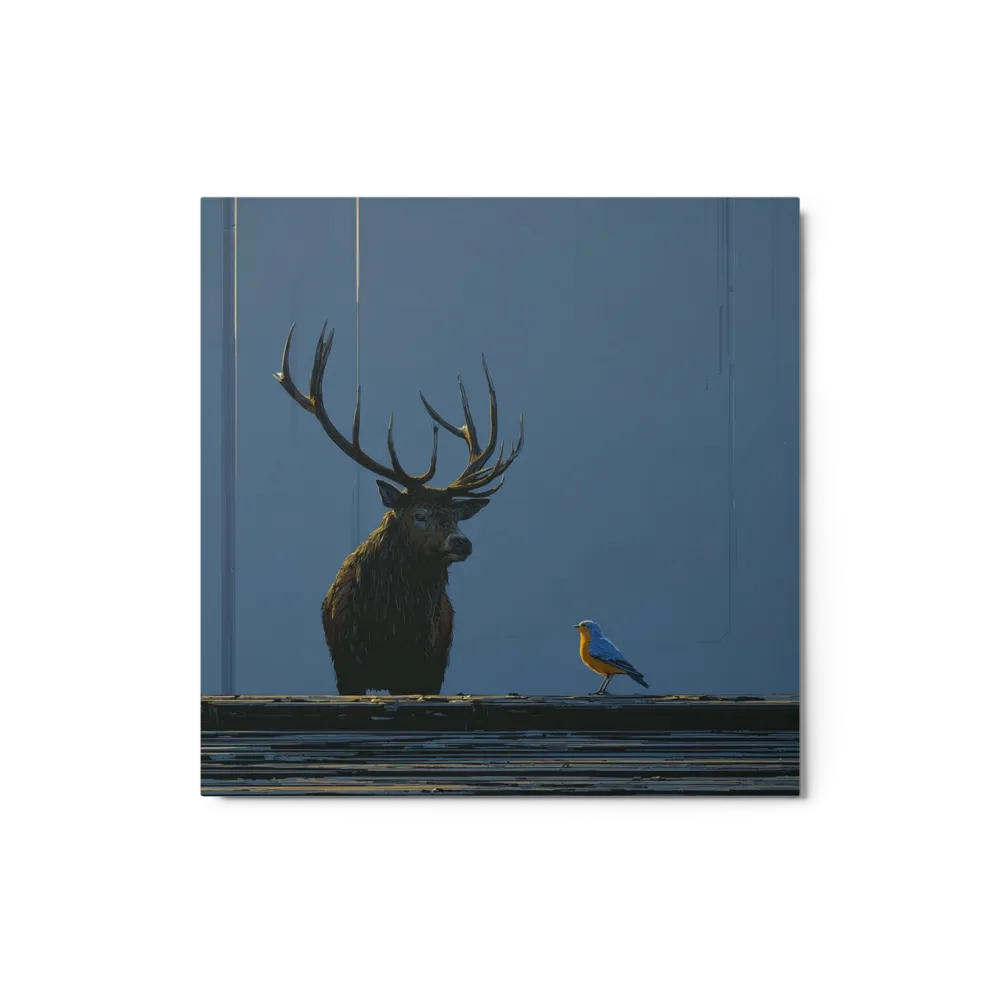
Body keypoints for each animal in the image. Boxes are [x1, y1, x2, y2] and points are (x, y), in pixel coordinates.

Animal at [274, 320, 524, 696]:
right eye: (419, 515)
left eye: (456, 516)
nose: (461, 542)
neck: (391, 635)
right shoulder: (346, 669)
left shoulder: (428, 669)